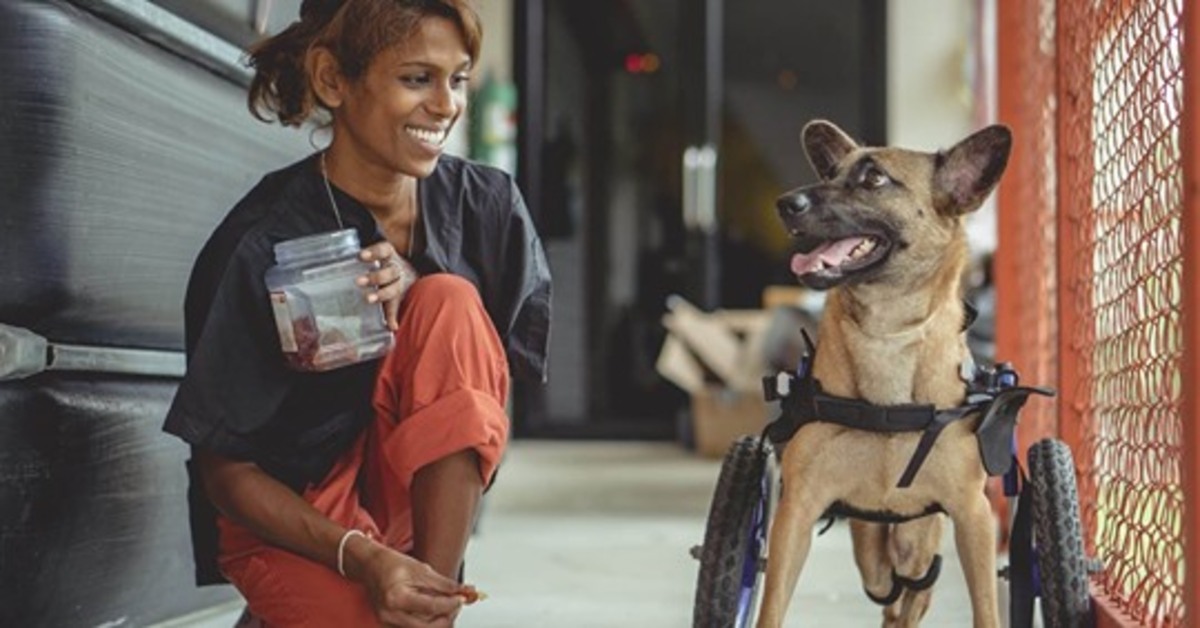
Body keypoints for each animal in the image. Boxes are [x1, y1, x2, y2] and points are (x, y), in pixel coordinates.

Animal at [758, 119, 1012, 628]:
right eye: (830, 173)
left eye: (874, 178)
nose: (784, 203)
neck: (886, 334)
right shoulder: (795, 512)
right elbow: (770, 605)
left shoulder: (973, 515)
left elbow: (985, 607)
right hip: (871, 540)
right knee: (885, 581)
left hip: (919, 534)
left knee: (916, 582)